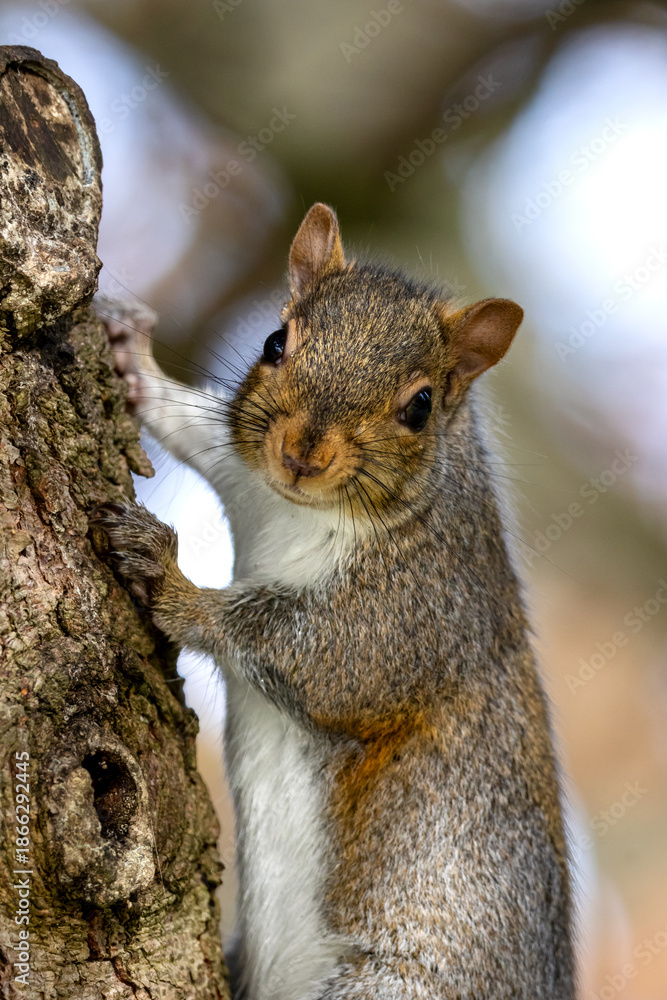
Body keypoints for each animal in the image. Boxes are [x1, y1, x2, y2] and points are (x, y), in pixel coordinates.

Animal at [93, 203, 576, 1000]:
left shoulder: (418, 609)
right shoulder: (245, 470)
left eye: (420, 406)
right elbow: (197, 423)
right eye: (275, 341)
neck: (300, 512)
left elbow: (320, 659)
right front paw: (132, 360)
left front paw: (170, 582)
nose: (302, 453)